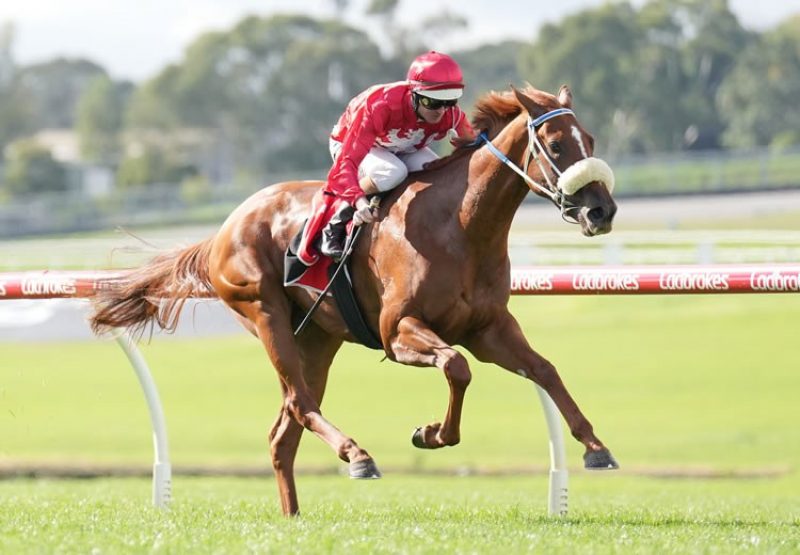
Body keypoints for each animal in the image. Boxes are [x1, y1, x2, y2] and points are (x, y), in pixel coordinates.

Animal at [92, 84, 620, 516]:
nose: (602, 210)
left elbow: (544, 369)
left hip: (317, 339)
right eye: (556, 145)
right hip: (265, 313)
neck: (461, 226)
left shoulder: (488, 329)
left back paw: (293, 516)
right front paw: (431, 434)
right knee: (301, 404)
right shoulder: (398, 332)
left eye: (591, 141)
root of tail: (223, 228)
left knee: (284, 431)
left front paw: (596, 447)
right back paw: (358, 456)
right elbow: (456, 367)